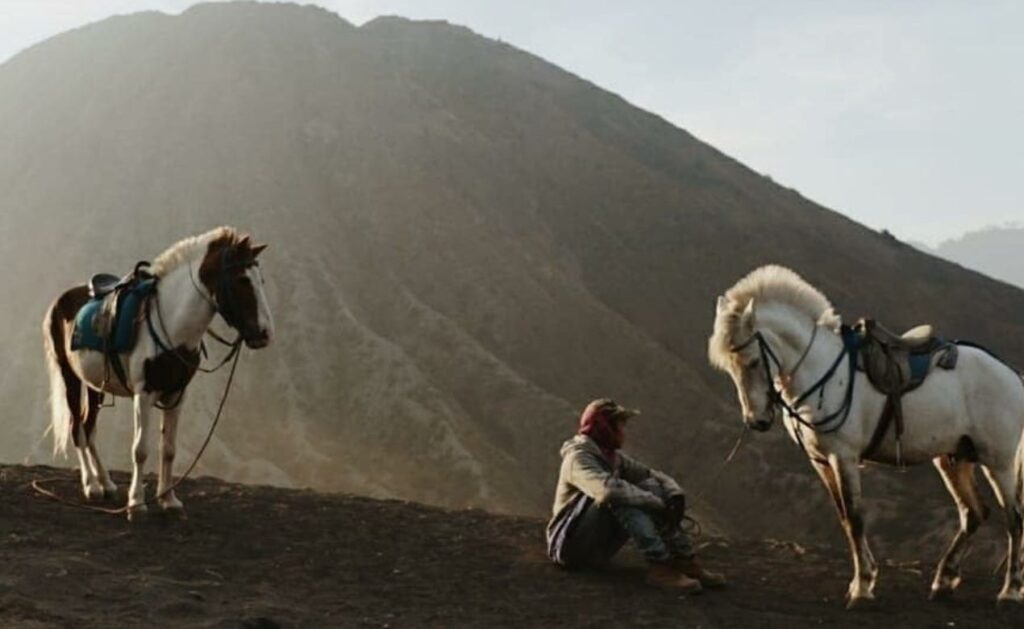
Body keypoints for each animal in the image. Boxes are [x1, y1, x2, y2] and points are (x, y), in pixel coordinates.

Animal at [42, 229, 274, 520]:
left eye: (261, 280)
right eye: (242, 280)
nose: (265, 333)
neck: (172, 325)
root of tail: (58, 301)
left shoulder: (177, 394)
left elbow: (169, 449)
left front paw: (169, 500)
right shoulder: (144, 394)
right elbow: (140, 450)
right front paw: (136, 504)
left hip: (94, 385)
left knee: (89, 426)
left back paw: (106, 484)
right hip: (69, 377)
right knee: (77, 429)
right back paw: (91, 485)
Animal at [704, 264, 1024, 606]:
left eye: (752, 361)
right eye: (729, 368)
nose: (757, 421)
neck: (821, 370)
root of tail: (1012, 375)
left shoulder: (843, 457)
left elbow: (856, 518)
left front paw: (861, 588)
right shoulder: (821, 461)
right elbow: (845, 519)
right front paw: (866, 578)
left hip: (998, 462)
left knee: (1014, 518)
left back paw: (1010, 590)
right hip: (954, 458)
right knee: (974, 513)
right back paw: (943, 582)